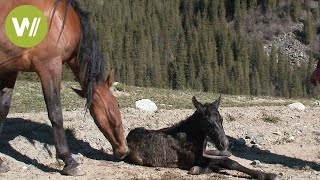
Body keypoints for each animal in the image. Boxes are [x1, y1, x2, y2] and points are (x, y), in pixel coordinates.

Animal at [0, 0, 130, 175]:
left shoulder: (11, 69)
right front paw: (69, 161)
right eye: (116, 105)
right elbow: (56, 113)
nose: (124, 150)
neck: (60, 21)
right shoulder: (50, 65)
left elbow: (3, 110)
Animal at [126, 96, 276, 179]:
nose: (224, 143)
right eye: (208, 123)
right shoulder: (192, 159)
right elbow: (230, 163)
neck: (195, 136)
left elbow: (227, 161)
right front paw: (268, 175)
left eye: (222, 119)